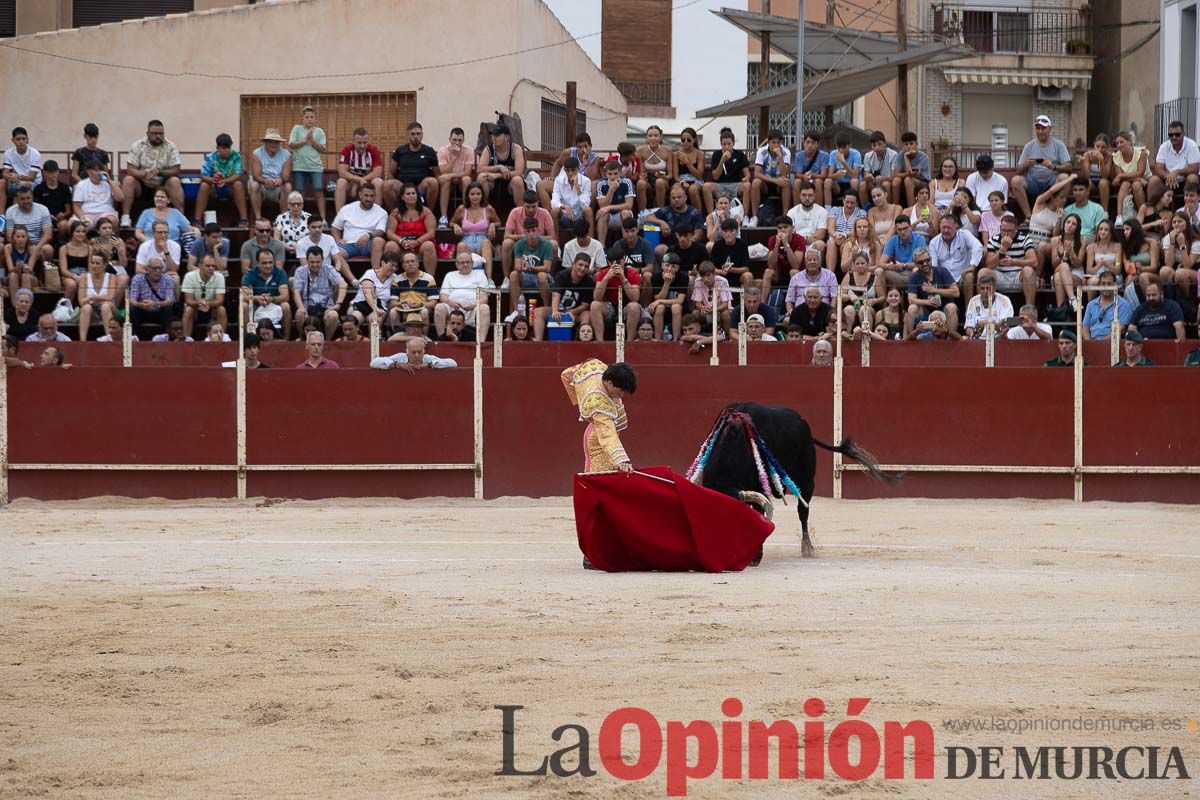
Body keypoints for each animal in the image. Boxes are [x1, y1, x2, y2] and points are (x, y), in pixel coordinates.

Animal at [696, 402, 902, 561]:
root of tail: (804, 424)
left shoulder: (759, 488)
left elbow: (760, 514)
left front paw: (755, 556)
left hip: (807, 481)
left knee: (803, 511)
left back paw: (807, 548)